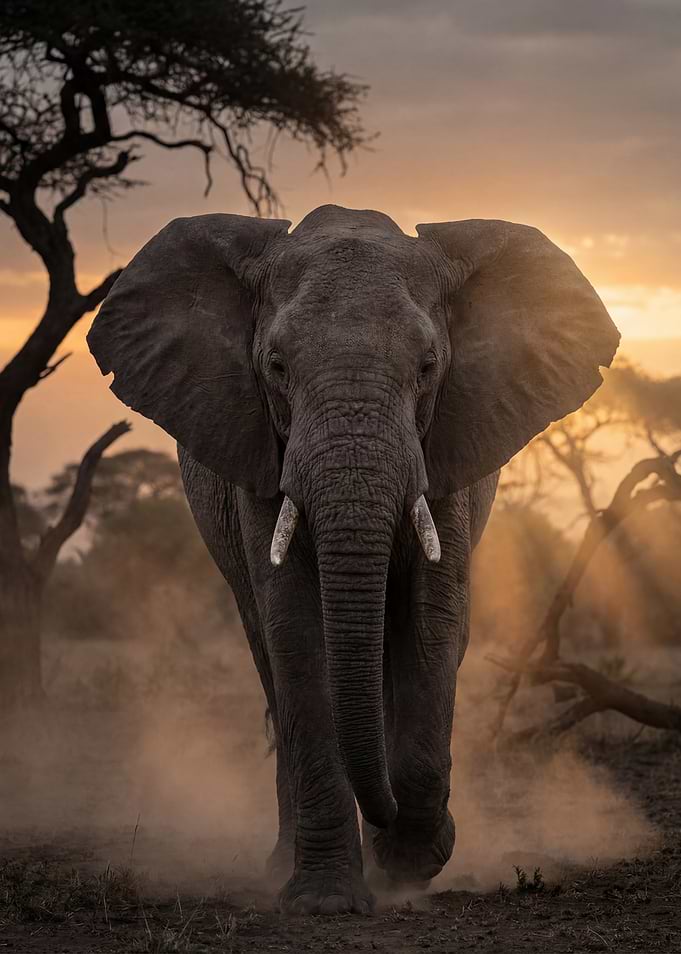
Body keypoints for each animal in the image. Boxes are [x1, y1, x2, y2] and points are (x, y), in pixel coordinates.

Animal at [87, 204, 619, 915]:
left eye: (428, 365)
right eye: (276, 365)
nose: (393, 818)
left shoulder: (445, 449)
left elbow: (433, 622)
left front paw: (412, 859)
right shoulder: (261, 454)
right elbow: (295, 630)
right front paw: (328, 900)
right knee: (268, 657)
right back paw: (284, 864)